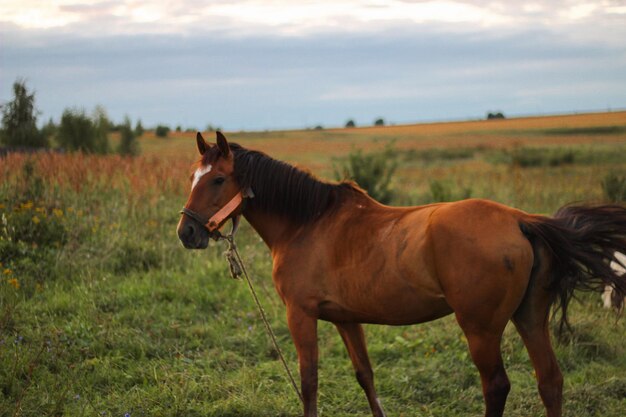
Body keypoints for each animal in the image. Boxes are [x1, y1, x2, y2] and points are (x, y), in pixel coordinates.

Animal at [176, 131, 624, 416]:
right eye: (192, 177)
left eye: (218, 179)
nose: (187, 232)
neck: (307, 222)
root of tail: (519, 220)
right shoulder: (346, 319)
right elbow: (366, 376)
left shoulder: (300, 315)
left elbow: (309, 383)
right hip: (530, 317)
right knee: (550, 381)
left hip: (480, 330)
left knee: (497, 386)